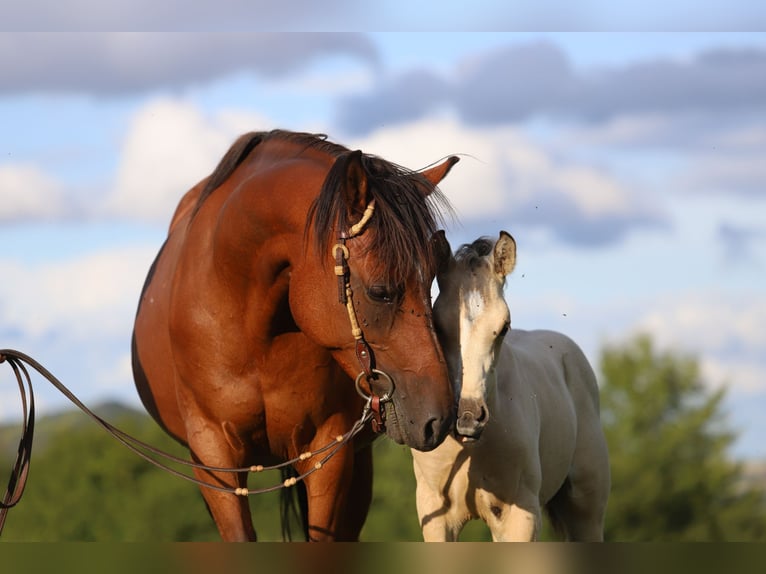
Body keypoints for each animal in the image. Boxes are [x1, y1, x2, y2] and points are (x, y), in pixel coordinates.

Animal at [411, 231, 610, 541]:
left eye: (504, 326)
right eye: (439, 325)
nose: (467, 416)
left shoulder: (520, 515)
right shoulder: (435, 516)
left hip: (586, 512)